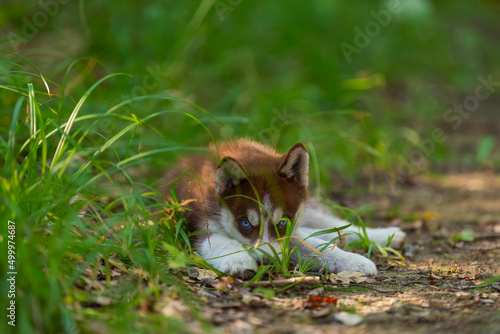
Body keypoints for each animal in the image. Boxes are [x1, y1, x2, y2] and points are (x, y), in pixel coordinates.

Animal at [162, 139, 404, 276]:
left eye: (283, 221)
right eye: (245, 223)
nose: (267, 261)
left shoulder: (290, 230)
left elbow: (316, 247)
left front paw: (354, 260)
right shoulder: (201, 226)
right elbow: (223, 242)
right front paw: (238, 259)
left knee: (331, 225)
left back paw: (383, 235)